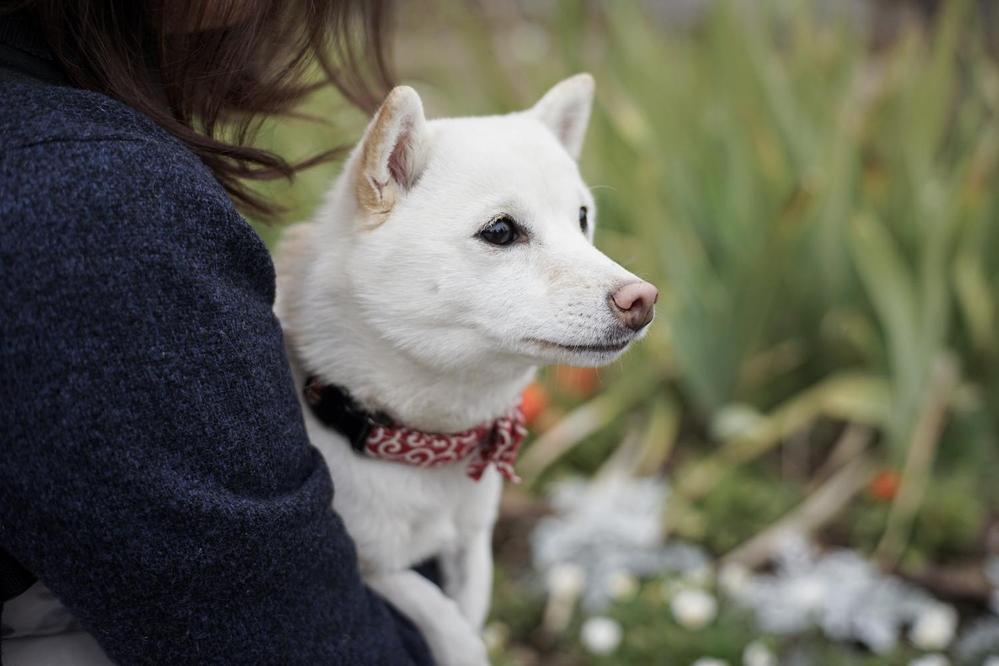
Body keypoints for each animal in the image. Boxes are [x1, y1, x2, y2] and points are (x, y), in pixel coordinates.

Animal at [278, 74, 660, 664]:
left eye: (582, 220)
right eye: (501, 231)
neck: (429, 443)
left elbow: (470, 603)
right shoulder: (370, 567)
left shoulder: (473, 543)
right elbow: (439, 612)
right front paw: (461, 645)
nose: (642, 300)